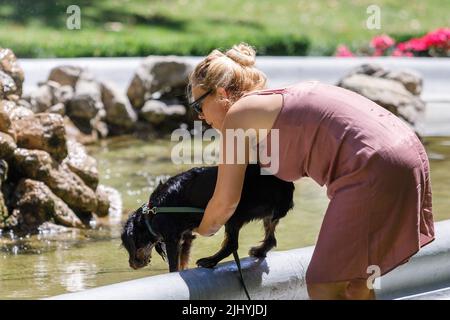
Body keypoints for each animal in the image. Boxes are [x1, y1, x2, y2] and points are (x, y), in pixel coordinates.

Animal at [121, 165, 294, 272]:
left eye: (129, 246)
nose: (131, 264)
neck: (151, 214)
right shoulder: (187, 236)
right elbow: (182, 260)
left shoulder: (172, 239)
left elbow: (173, 265)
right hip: (268, 214)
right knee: (271, 239)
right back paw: (259, 251)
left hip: (233, 212)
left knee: (232, 245)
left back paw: (209, 261)